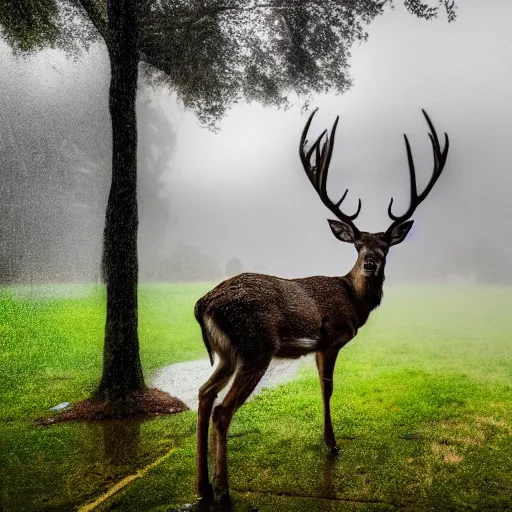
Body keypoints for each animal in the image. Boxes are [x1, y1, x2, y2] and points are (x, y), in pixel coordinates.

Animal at [194, 108, 450, 500]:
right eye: (357, 245)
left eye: (385, 245)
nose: (370, 263)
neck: (353, 300)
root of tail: (203, 302)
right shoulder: (331, 337)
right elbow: (328, 387)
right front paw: (332, 443)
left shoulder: (316, 346)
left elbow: (320, 386)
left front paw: (327, 439)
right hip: (256, 346)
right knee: (223, 409)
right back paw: (223, 488)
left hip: (227, 352)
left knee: (204, 395)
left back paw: (202, 485)